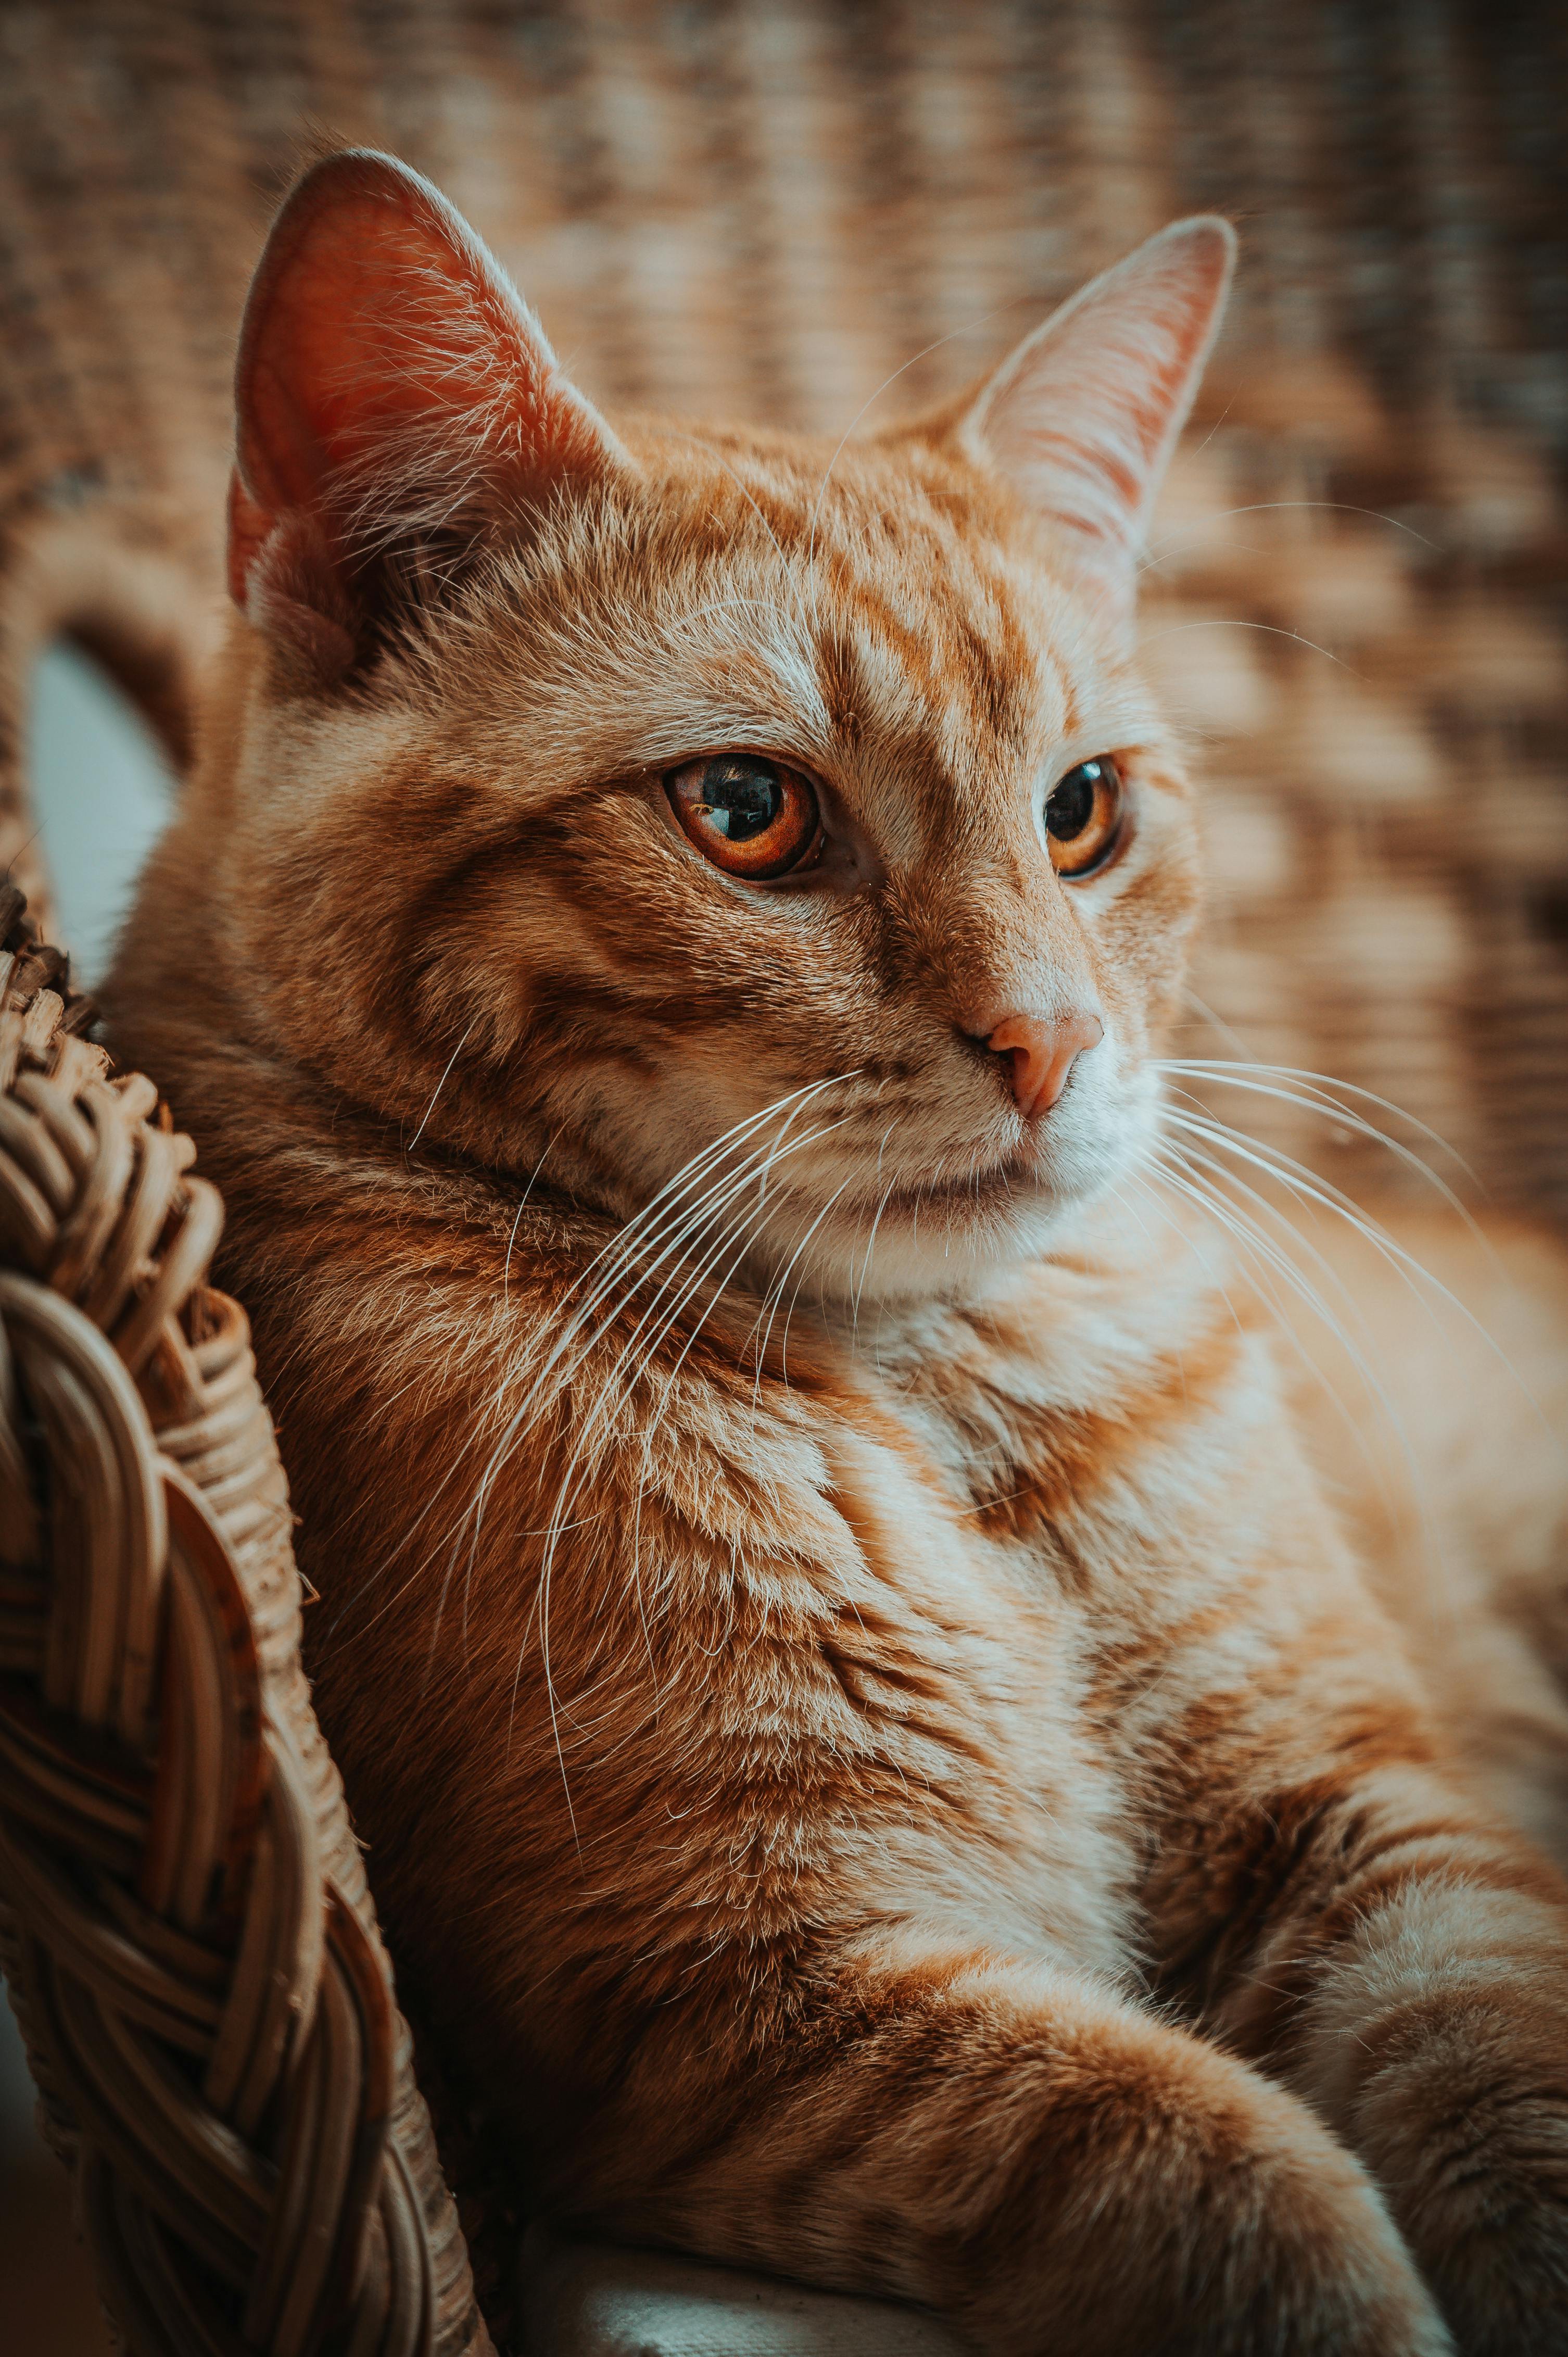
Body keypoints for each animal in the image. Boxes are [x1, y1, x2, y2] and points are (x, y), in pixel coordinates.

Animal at [104, 152, 1556, 2357]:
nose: (1049, 1040)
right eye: (743, 810)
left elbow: (1500, 2070)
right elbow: (1224, 2167)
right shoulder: (730, 1996)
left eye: (1082, 810)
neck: (934, 1399)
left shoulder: (1372, 1830)